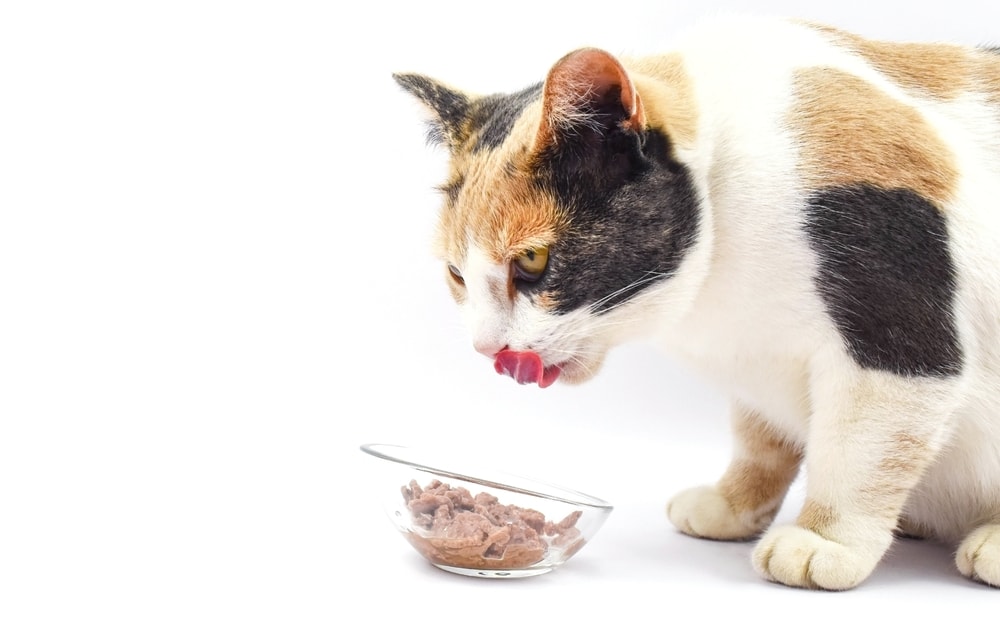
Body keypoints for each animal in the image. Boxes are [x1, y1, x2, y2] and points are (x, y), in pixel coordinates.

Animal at [392, 15, 1000, 592]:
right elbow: (759, 438)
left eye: (534, 260)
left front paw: (824, 539)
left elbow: (859, 448)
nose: (487, 348)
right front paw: (732, 504)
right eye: (456, 274)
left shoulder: (896, 343)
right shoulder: (756, 357)